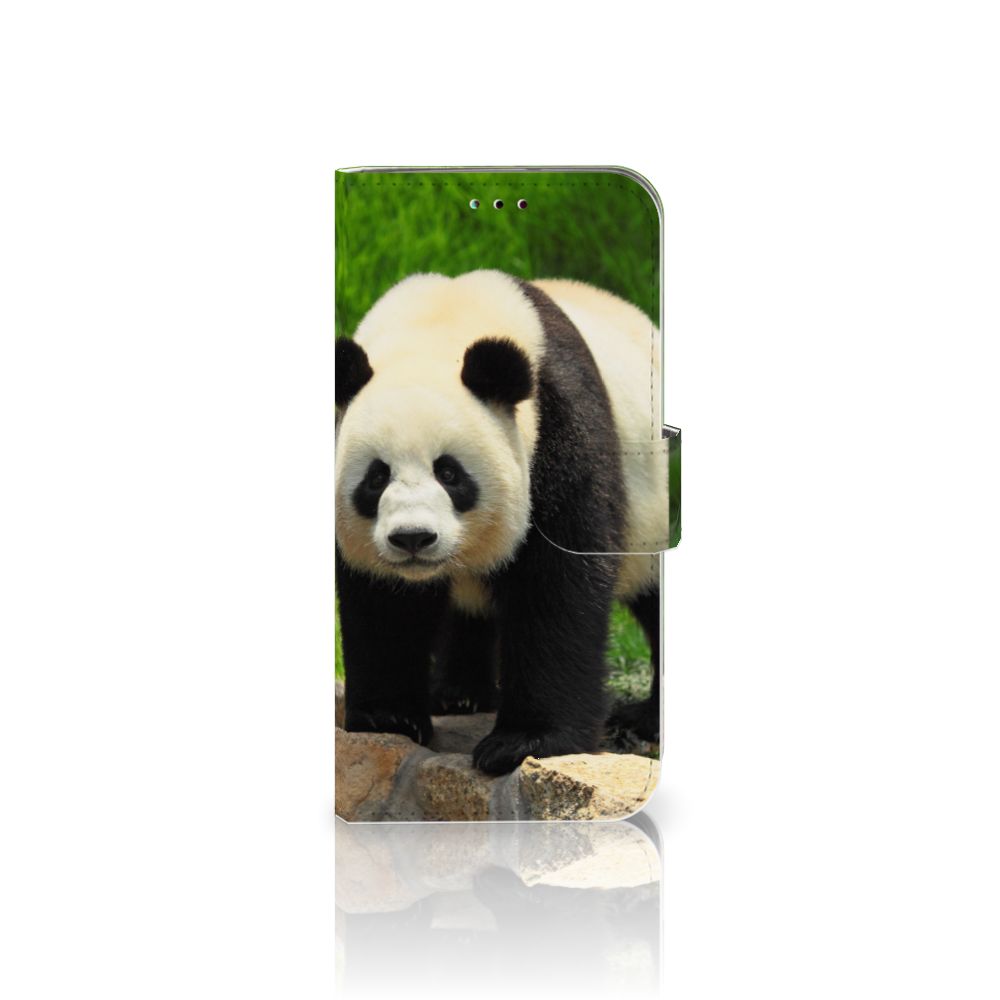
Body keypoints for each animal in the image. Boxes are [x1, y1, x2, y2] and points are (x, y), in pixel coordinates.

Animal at [335, 270, 663, 776]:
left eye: (449, 473)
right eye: (376, 477)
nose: (413, 538)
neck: (437, 326)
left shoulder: (558, 429)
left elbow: (558, 584)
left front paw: (525, 742)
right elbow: (382, 602)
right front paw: (388, 717)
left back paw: (646, 718)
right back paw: (458, 694)